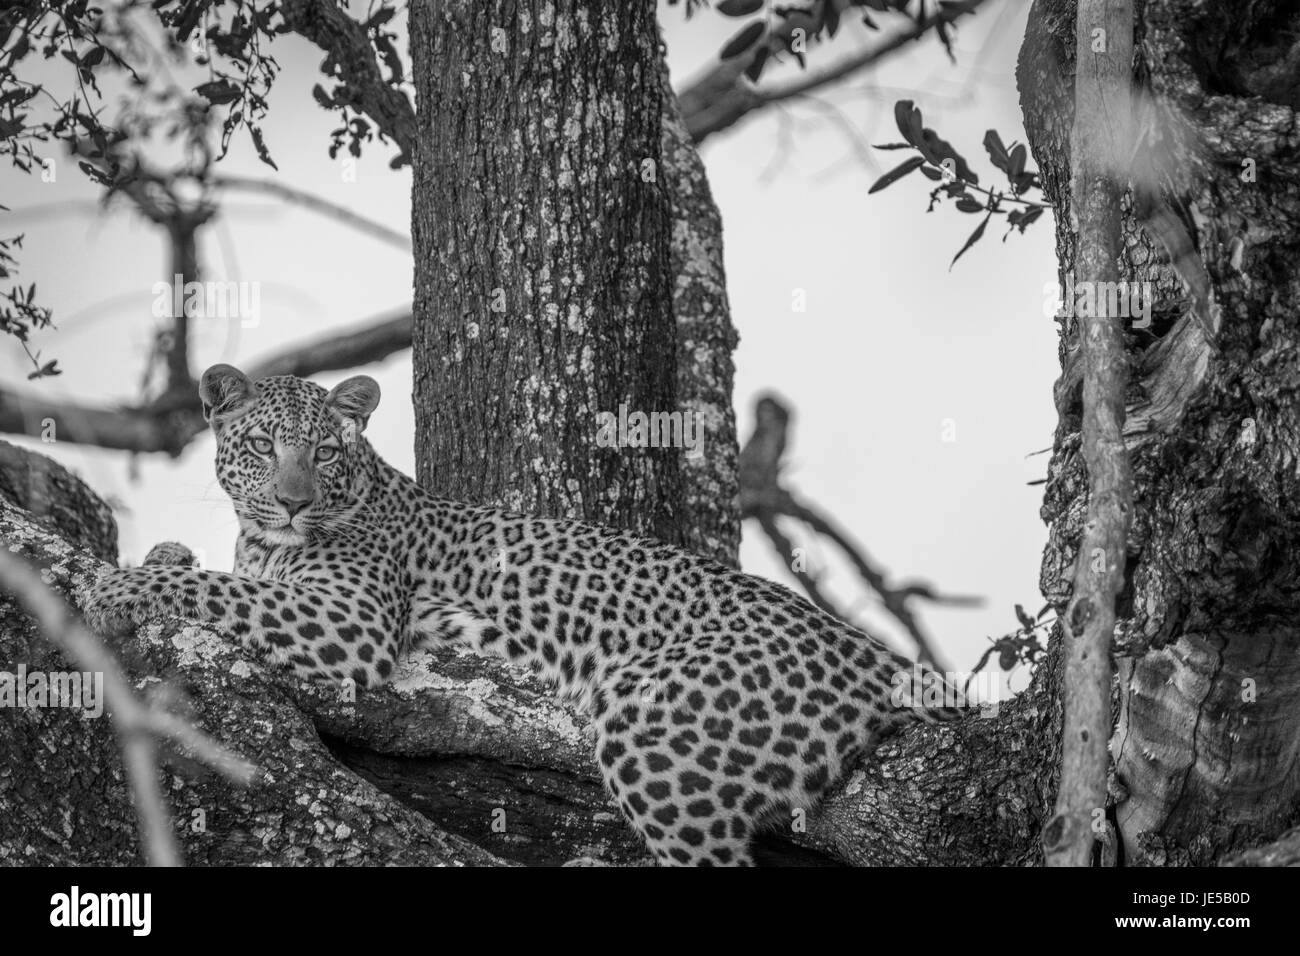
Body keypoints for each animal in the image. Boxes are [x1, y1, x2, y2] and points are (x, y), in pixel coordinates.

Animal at [84, 363, 965, 866]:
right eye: (264, 446)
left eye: (324, 452)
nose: (295, 502)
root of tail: (879, 655)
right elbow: (208, 571)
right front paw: (160, 555)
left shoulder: (346, 617)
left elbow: (220, 591)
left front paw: (112, 588)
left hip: (656, 725)